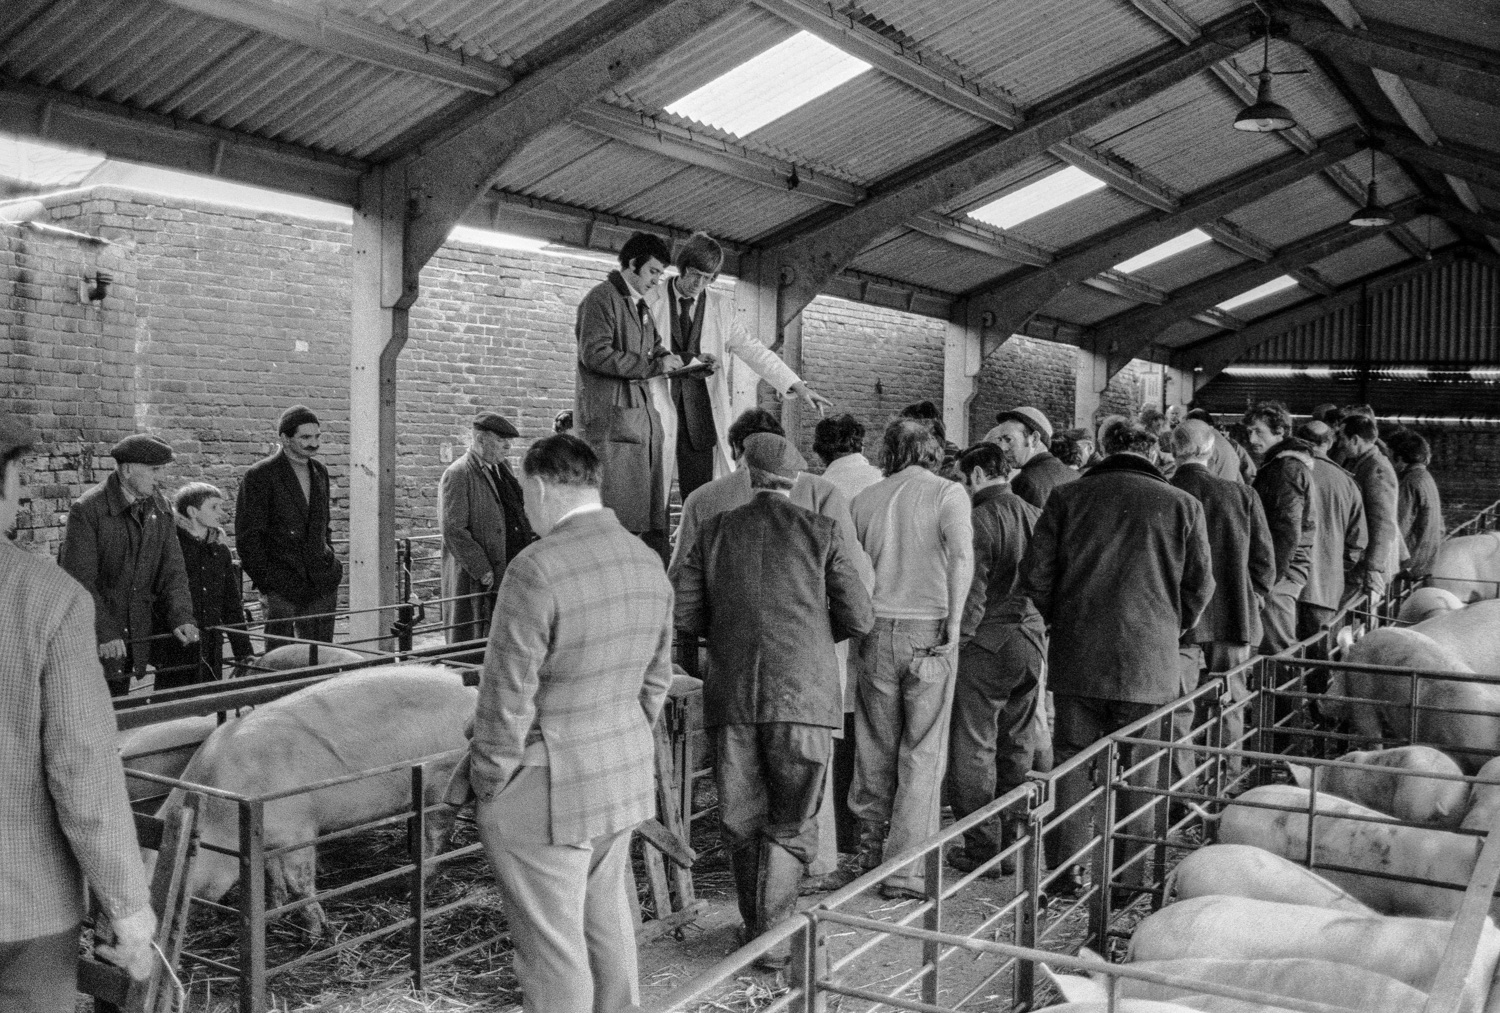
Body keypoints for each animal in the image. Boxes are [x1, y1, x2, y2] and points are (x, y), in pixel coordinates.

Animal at [151, 665, 476, 939]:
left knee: (436, 840)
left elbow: (300, 882)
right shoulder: (267, 838)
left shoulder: (299, 829)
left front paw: (319, 933)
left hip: (442, 783)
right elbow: (273, 877)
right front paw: (271, 915)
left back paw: (412, 891)